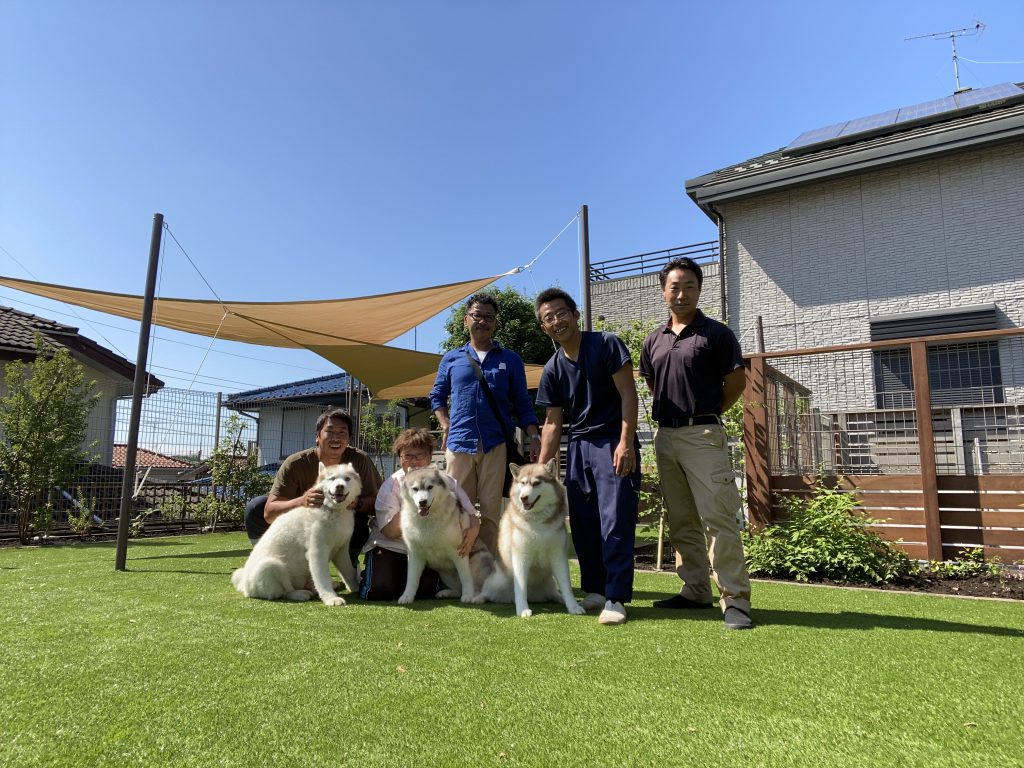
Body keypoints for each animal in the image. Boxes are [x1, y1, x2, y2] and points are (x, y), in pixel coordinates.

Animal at [234, 462, 362, 606]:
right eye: (332, 478)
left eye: (347, 479)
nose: (339, 486)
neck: (333, 511)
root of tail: (243, 585)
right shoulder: (317, 552)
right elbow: (322, 579)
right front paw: (330, 598)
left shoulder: (341, 550)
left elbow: (348, 572)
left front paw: (356, 587)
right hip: (270, 565)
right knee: (285, 591)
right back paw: (300, 594)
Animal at [397, 466, 493, 606]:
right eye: (415, 488)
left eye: (430, 487)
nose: (422, 502)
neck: (428, 520)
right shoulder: (415, 555)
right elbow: (412, 580)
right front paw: (407, 596)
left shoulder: (459, 553)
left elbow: (466, 577)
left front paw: (468, 596)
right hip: (445, 574)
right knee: (458, 589)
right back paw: (445, 593)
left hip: (478, 561)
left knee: (486, 590)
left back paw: (477, 597)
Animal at [471, 462, 585, 618]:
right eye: (523, 483)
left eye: (536, 483)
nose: (523, 498)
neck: (537, 521)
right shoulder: (521, 556)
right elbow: (521, 586)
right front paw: (522, 609)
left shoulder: (558, 556)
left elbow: (566, 585)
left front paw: (573, 606)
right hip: (499, 581)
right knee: (487, 592)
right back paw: (478, 598)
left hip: (549, 583)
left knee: (554, 593)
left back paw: (559, 598)